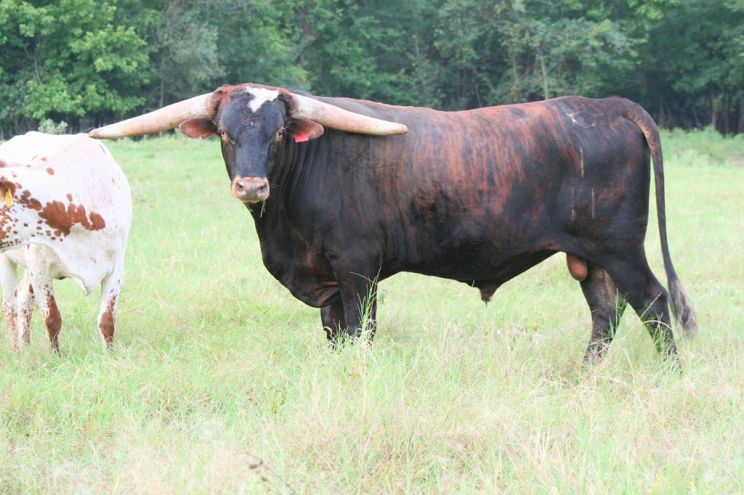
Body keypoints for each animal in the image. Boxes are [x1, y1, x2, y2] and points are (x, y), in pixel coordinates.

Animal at [0, 132, 132, 351]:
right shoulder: (39, 267)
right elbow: (52, 318)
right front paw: (56, 355)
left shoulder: (117, 265)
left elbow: (107, 320)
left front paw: (110, 353)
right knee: (9, 304)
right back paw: (16, 350)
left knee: (23, 298)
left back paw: (25, 349)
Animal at [90, 83, 696, 367]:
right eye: (224, 133)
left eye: (280, 132)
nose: (251, 186)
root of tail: (607, 105)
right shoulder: (328, 282)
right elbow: (335, 335)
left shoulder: (358, 269)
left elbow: (361, 332)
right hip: (589, 258)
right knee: (605, 312)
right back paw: (586, 373)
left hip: (620, 247)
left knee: (653, 303)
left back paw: (669, 374)